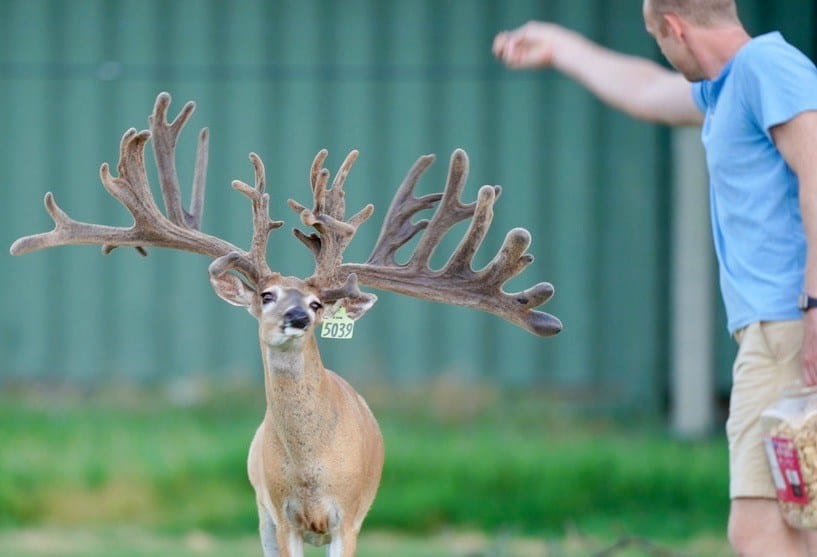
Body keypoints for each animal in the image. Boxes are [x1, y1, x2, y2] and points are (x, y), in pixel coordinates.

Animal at [10, 92, 562, 557]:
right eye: (266, 295)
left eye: (318, 304)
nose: (296, 317)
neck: (313, 472)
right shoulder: (281, 515)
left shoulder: (348, 519)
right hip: (262, 516)